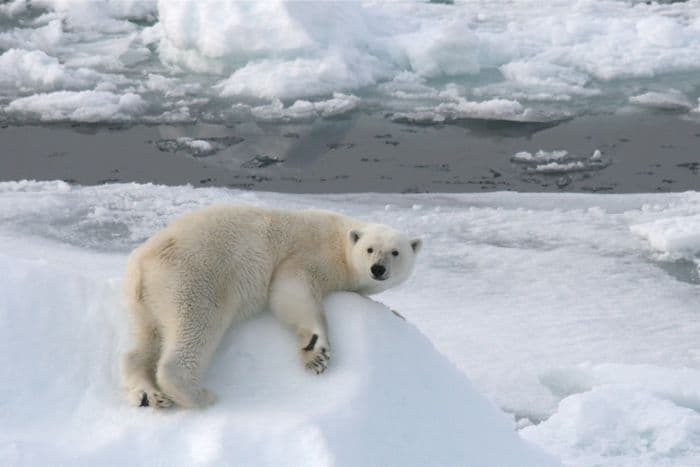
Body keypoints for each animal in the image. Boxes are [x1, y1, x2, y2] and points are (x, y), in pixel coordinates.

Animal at [120, 206, 422, 410]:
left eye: (395, 252)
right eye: (370, 249)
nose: (378, 269)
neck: (340, 240)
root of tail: (141, 262)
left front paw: (397, 313)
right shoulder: (310, 253)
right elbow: (291, 288)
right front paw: (316, 352)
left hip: (146, 300)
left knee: (145, 341)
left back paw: (148, 395)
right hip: (193, 278)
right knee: (196, 326)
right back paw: (199, 395)